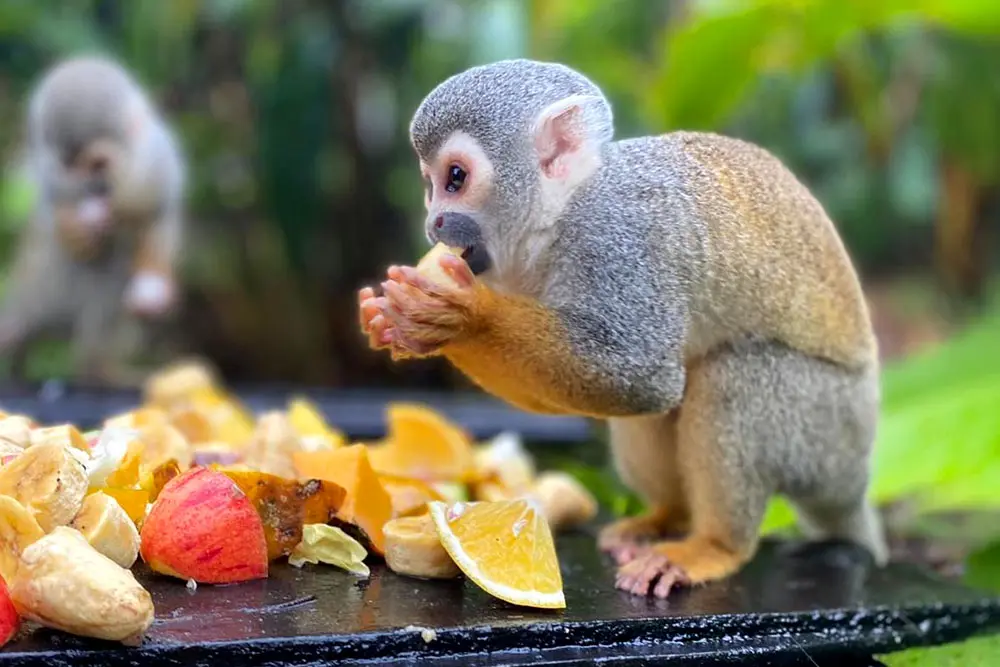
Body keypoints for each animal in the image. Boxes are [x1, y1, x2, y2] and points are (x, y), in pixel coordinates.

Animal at [0, 55, 187, 383]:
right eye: (70, 165)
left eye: (99, 164)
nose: (93, 188)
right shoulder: (50, 170)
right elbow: (52, 212)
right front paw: (78, 231)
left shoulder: (158, 162)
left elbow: (158, 216)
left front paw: (155, 281)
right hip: (43, 286)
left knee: (116, 270)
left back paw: (99, 367)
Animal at [358, 59, 888, 599]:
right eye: (430, 184)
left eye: (456, 178)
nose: (434, 224)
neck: (560, 215)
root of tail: (857, 475)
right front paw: (391, 320)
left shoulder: (618, 241)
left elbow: (643, 379)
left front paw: (462, 317)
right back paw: (668, 517)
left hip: (827, 430)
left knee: (733, 376)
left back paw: (716, 544)